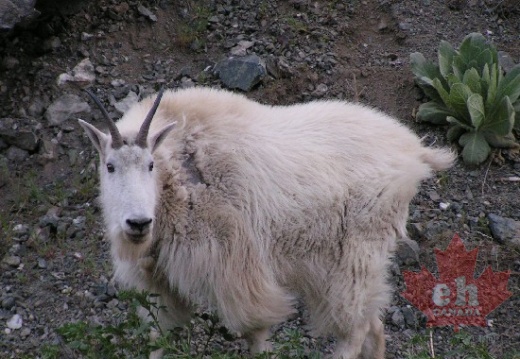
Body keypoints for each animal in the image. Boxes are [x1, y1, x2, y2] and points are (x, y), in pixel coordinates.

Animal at [78, 88, 456, 359]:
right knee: (372, 324)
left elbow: (256, 332)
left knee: (355, 329)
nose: (138, 223)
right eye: (109, 166)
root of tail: (414, 151)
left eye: (150, 165)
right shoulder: (161, 284)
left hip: (357, 254)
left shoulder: (235, 266)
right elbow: (160, 337)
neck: (179, 175)